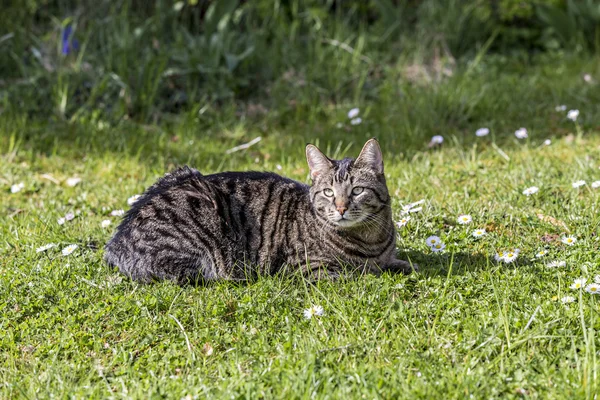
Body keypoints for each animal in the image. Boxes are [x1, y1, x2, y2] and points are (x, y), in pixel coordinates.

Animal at [105, 139, 414, 282]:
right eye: (329, 192)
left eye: (357, 191)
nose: (341, 208)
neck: (369, 239)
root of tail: (115, 242)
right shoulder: (306, 268)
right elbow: (357, 274)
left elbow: (397, 263)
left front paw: (401, 265)